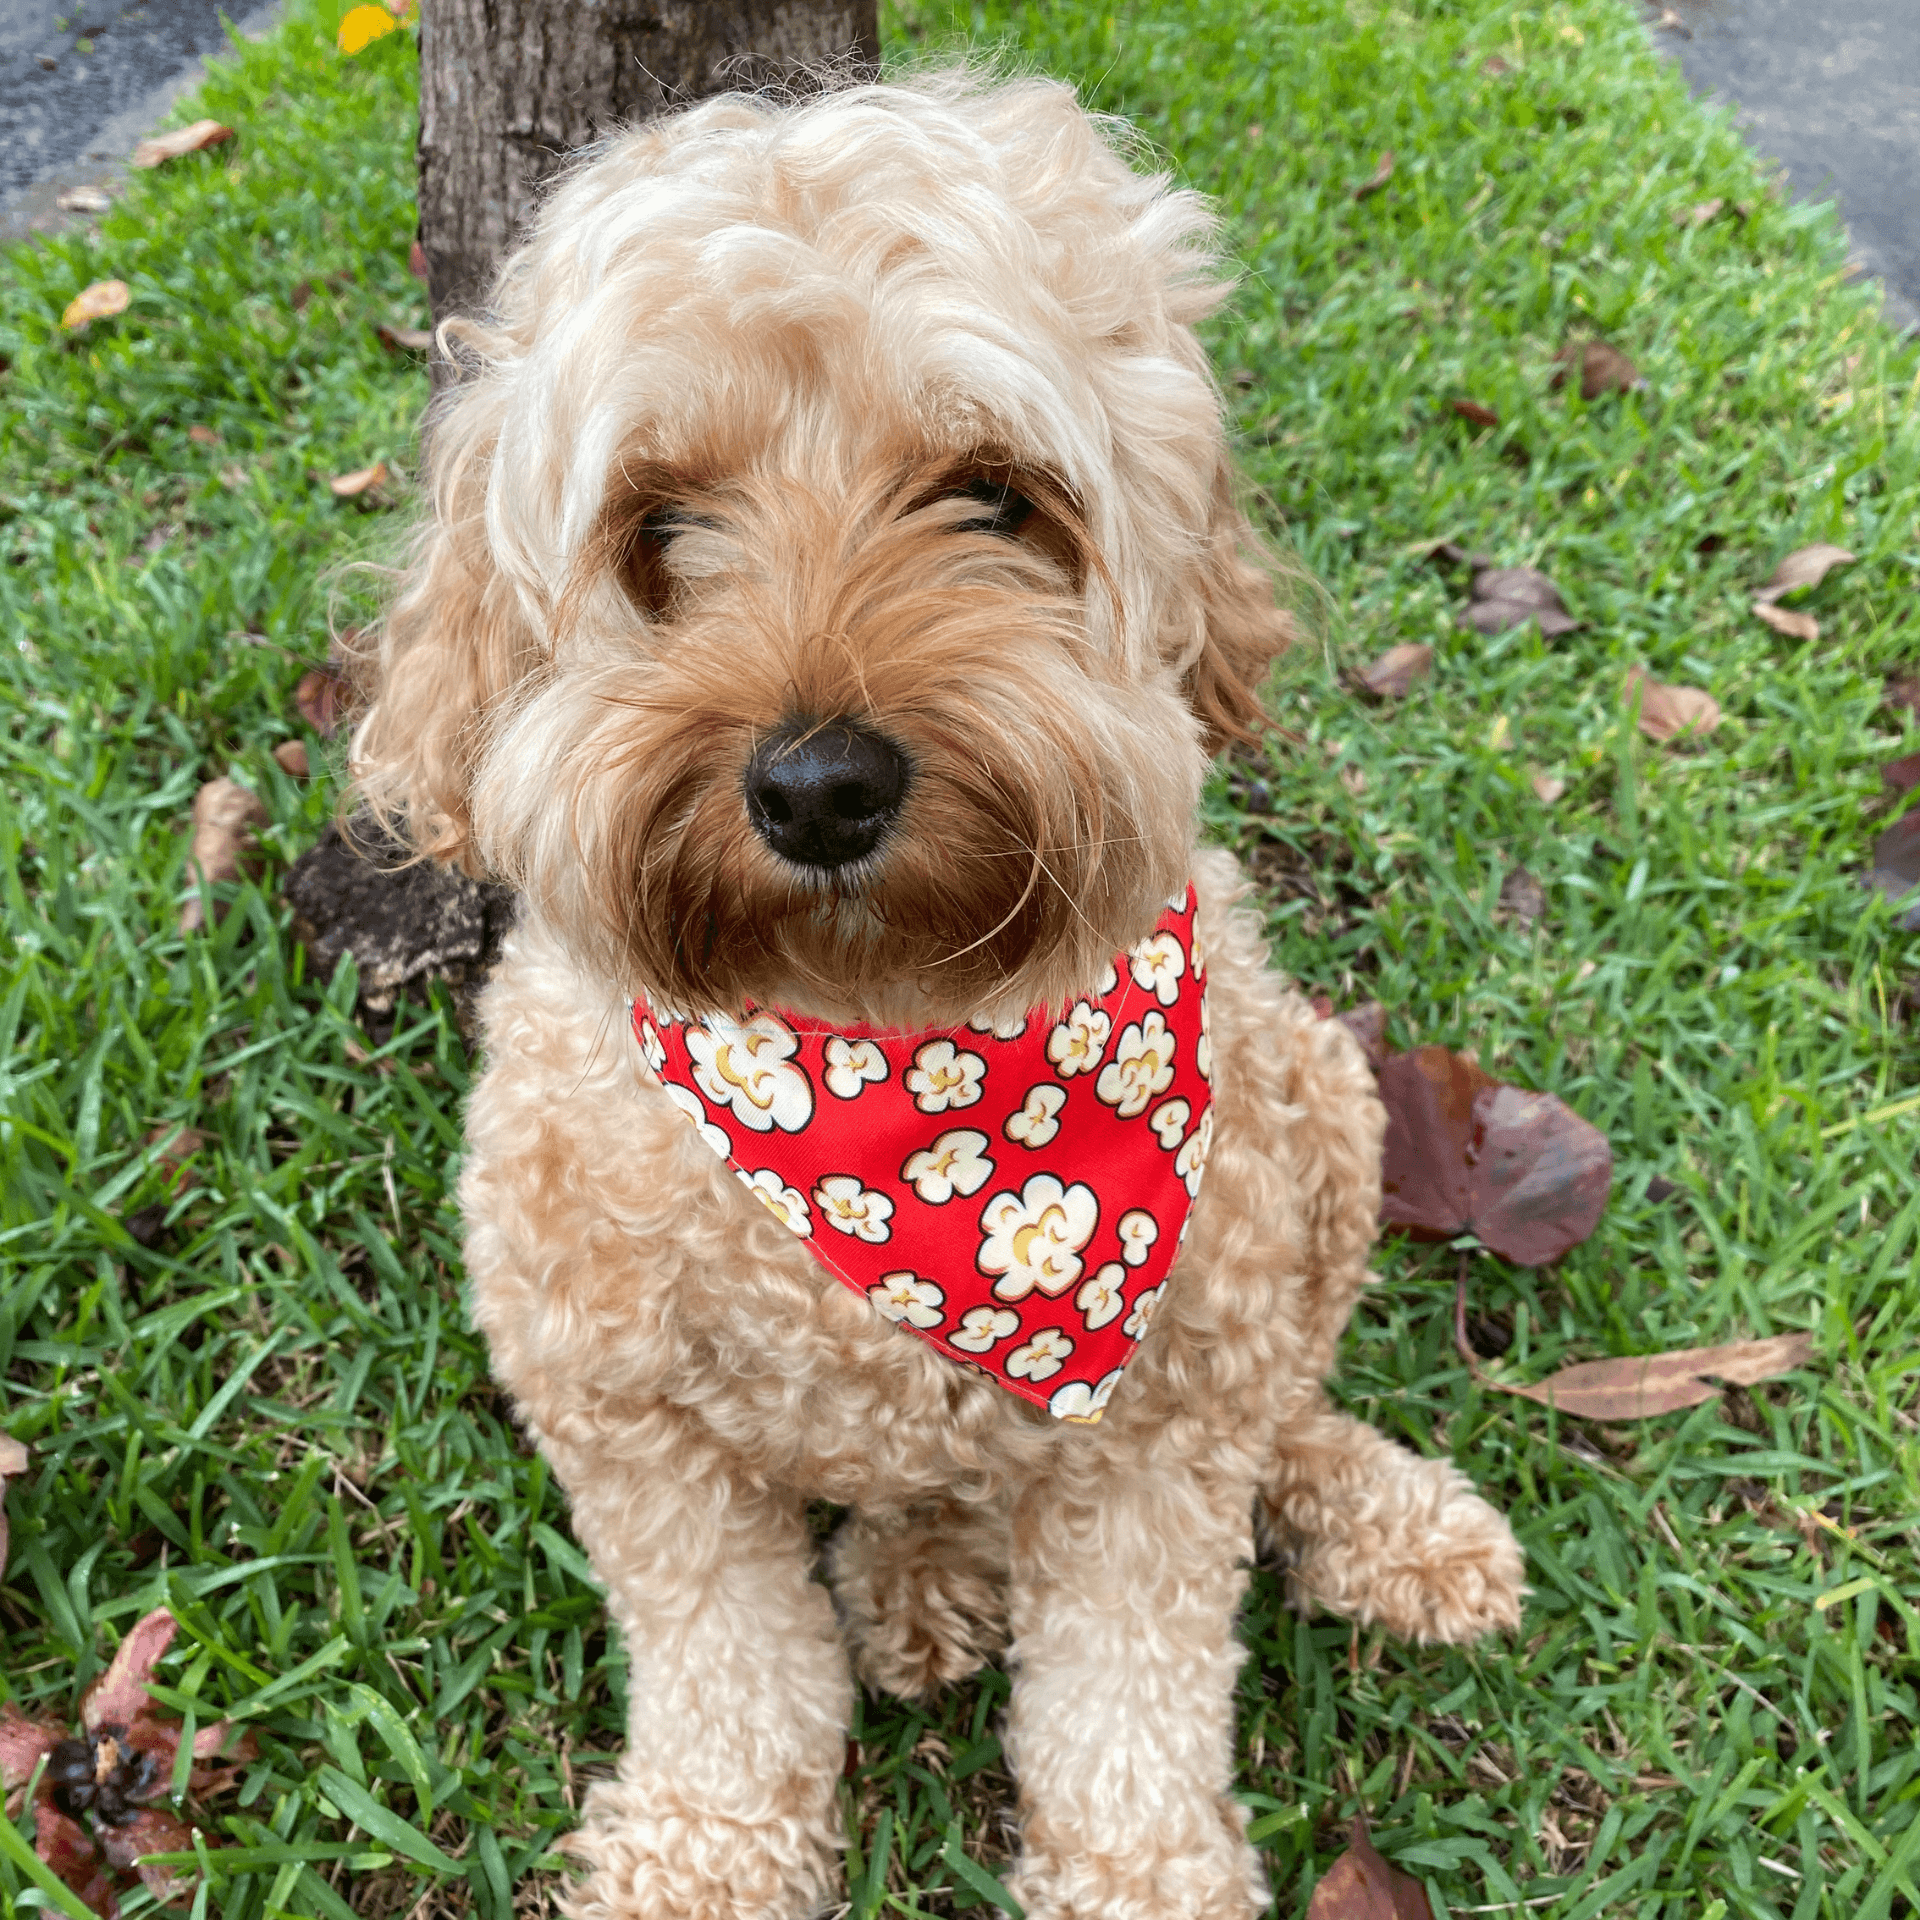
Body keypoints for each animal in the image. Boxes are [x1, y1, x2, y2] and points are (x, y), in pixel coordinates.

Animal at [349, 67, 1512, 1920]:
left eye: (992, 497)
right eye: (658, 526)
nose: (821, 787)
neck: (883, 1054)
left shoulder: (1156, 1425)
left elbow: (1130, 1695)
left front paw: (1140, 1879)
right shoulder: (619, 1412)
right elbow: (730, 1667)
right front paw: (706, 1859)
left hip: (1317, 1122)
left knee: (1283, 1407)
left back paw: (1375, 1515)